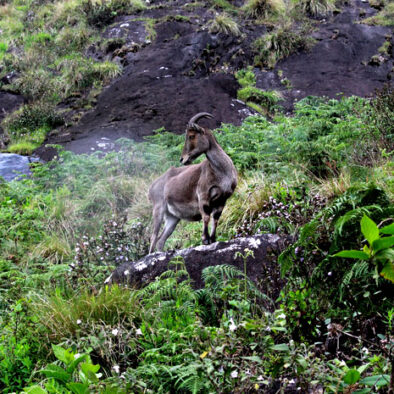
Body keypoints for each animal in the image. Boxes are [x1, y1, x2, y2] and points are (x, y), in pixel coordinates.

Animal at [149, 112, 237, 252]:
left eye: (191, 136)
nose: (182, 159)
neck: (221, 172)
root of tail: (152, 187)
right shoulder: (203, 196)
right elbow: (206, 217)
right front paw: (205, 239)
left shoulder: (222, 199)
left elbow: (216, 219)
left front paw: (213, 239)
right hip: (158, 208)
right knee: (153, 237)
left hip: (172, 218)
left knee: (161, 240)